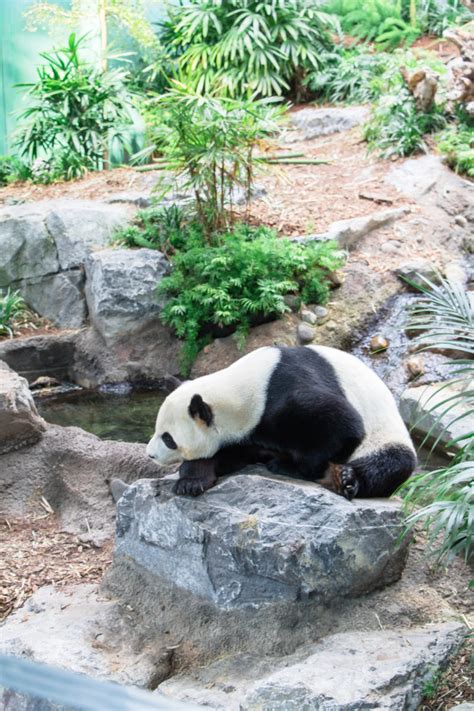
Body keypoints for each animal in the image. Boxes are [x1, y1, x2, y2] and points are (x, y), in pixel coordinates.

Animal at [145, 344, 414, 500]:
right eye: (157, 430)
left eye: (168, 439)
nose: (150, 455)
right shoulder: (244, 434)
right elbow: (222, 455)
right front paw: (191, 482)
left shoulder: (284, 394)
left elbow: (344, 424)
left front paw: (291, 466)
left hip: (385, 433)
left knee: (392, 463)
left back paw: (347, 479)